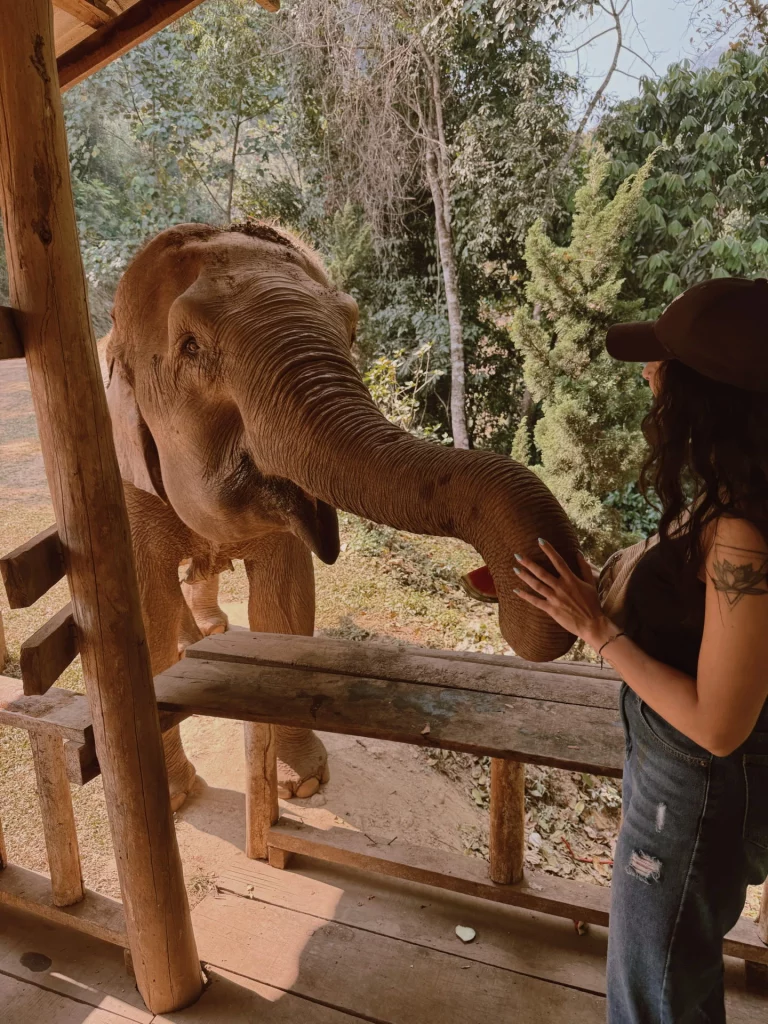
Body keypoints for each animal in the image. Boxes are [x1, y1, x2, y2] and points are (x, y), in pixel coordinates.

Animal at [104, 220, 580, 810]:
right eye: (190, 347)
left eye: (351, 330)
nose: (494, 586)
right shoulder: (127, 489)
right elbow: (145, 622)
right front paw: (173, 797)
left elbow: (286, 605)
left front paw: (303, 784)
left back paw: (206, 634)